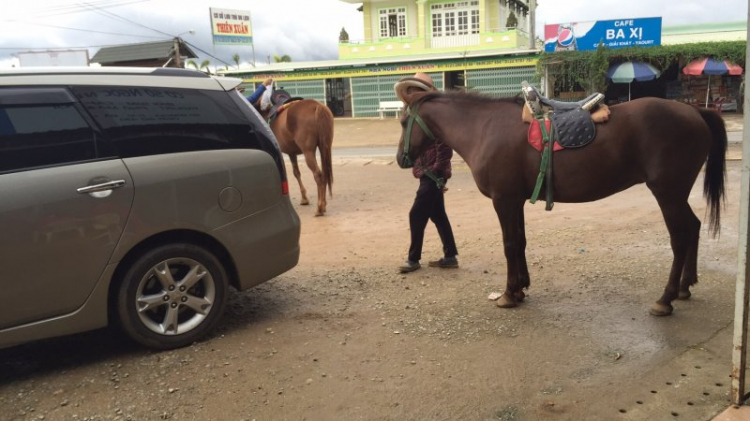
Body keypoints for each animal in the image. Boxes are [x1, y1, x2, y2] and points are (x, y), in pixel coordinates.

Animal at [396, 91, 724, 316]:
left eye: (403, 121)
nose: (401, 158)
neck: (484, 128)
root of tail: (694, 111)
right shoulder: (516, 201)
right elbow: (521, 242)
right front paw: (521, 289)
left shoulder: (504, 200)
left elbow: (509, 245)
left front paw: (508, 294)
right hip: (677, 194)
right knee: (694, 228)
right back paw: (685, 286)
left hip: (667, 193)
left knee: (680, 238)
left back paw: (665, 299)